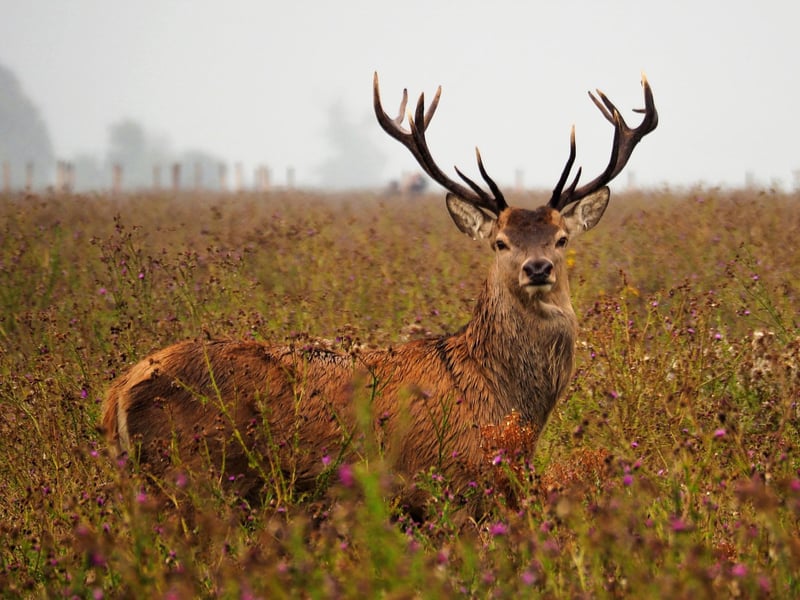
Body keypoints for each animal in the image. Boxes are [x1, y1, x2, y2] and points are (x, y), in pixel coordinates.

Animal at [101, 72, 657, 516]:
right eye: (500, 242)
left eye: (561, 238)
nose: (537, 267)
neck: (504, 404)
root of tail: (118, 394)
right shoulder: (447, 482)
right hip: (193, 475)